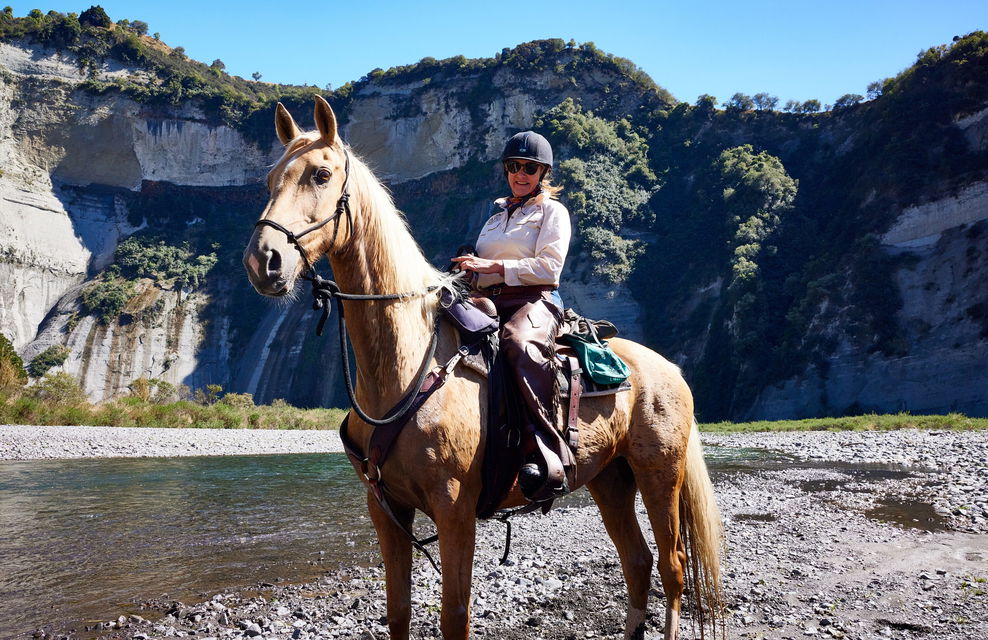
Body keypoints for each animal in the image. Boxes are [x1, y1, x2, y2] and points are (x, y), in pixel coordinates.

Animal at [243, 96, 724, 640]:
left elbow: (455, 616)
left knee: (672, 565)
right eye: (270, 180)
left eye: (322, 175)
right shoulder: (387, 510)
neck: (408, 365)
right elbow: (398, 612)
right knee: (637, 563)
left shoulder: (455, 510)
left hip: (659, 472)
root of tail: (670, 369)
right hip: (610, 478)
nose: (263, 261)